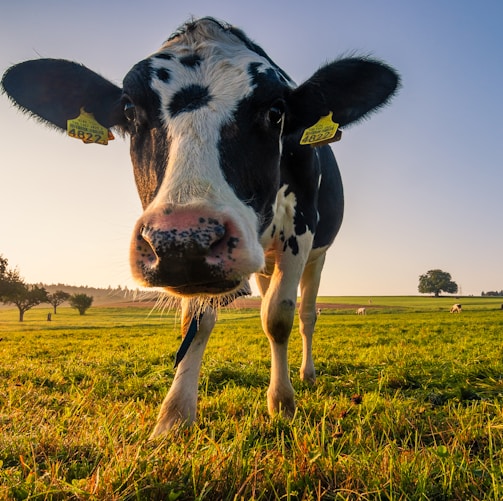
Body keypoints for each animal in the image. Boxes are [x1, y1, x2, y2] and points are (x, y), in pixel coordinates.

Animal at [0, 17, 402, 436]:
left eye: (276, 112)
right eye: (129, 109)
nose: (184, 240)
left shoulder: (301, 231)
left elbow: (278, 317)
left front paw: (281, 403)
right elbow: (196, 322)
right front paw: (175, 415)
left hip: (317, 256)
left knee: (307, 315)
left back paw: (305, 373)